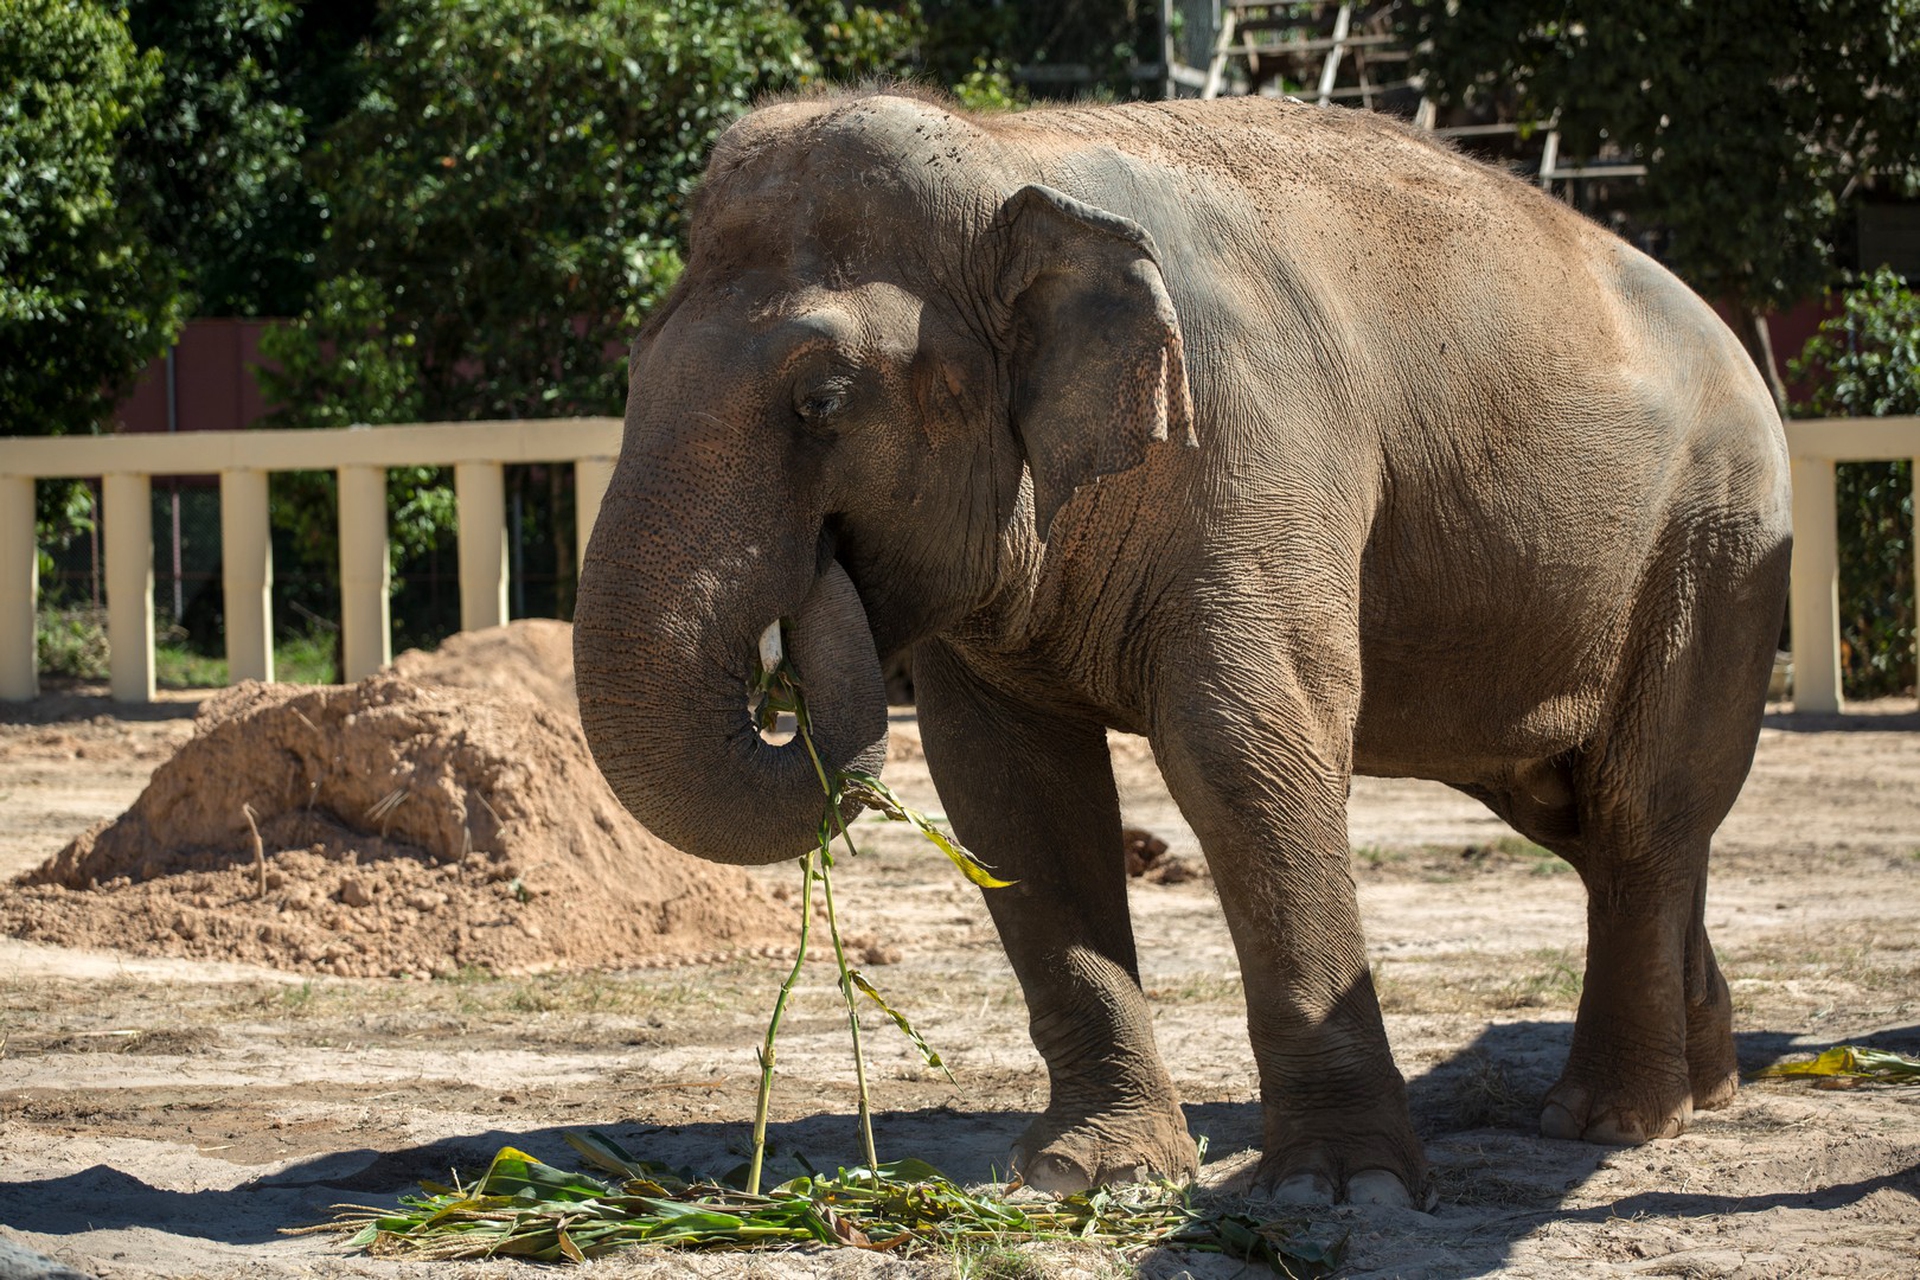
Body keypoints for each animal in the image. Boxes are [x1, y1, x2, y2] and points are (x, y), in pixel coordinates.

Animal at [573, 88, 1792, 1208]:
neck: (1016, 159)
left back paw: (1611, 1122)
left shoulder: (1260, 450)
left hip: (1715, 545)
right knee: (1594, 818)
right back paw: (1706, 1084)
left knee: (1641, 808)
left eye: (823, 399)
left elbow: (1242, 749)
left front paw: (1336, 1191)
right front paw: (1084, 1174)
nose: (818, 578)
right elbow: (1009, 792)